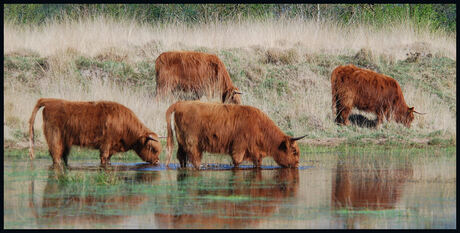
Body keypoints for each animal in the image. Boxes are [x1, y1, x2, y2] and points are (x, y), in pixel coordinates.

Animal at [28, 98, 162, 166]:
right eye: (152, 149)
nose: (157, 161)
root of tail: (49, 101)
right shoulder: (106, 145)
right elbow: (104, 158)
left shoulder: (111, 148)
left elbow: (108, 160)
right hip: (55, 137)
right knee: (56, 155)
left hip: (65, 141)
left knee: (63, 155)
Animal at [164, 101, 306, 168]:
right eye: (294, 151)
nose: (297, 164)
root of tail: (181, 103)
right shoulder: (239, 148)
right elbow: (237, 163)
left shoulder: (255, 153)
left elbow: (257, 163)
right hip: (193, 143)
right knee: (194, 160)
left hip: (182, 142)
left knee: (181, 158)